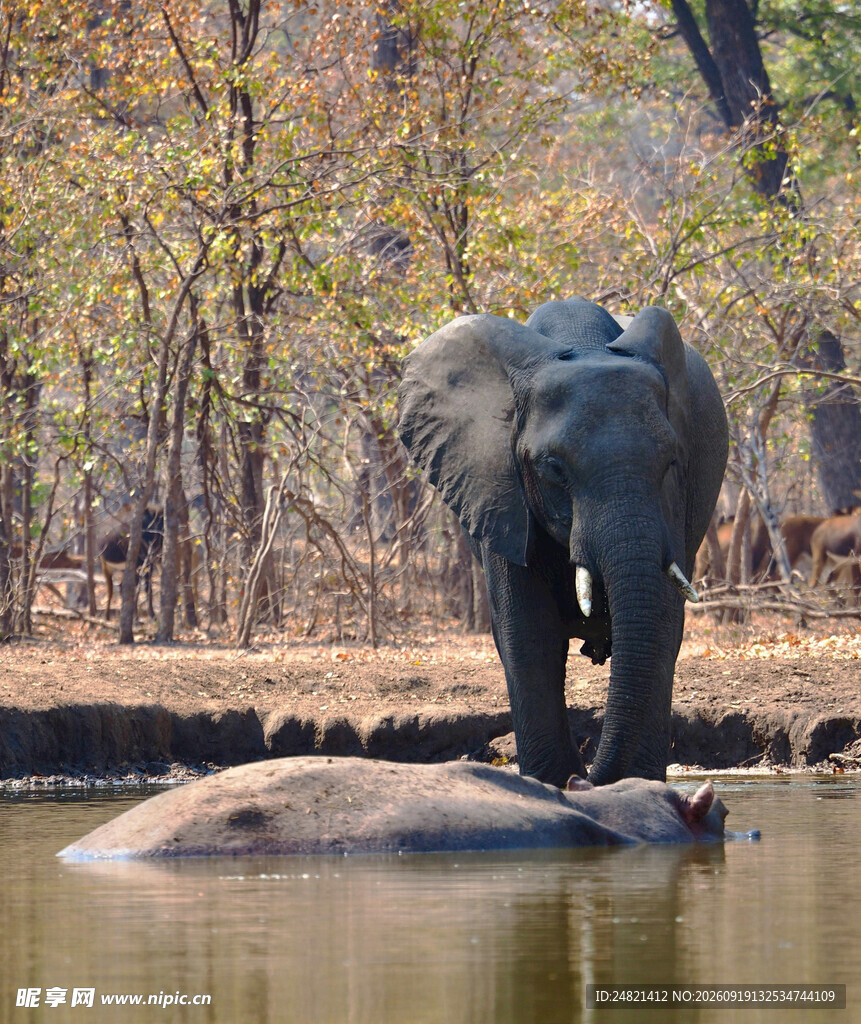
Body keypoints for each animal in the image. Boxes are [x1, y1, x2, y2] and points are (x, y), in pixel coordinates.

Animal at [398, 298, 727, 787]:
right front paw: (552, 782)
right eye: (553, 468)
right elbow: (528, 633)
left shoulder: (675, 497)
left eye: (671, 461)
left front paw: (636, 786)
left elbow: (664, 623)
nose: (586, 777)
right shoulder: (499, 488)